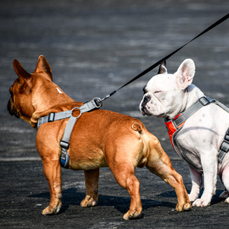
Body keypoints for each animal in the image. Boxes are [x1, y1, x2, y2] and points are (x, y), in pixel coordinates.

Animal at [7, 55, 191, 220]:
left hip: (120, 167)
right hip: (157, 163)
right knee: (175, 177)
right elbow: (91, 184)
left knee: (133, 183)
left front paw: (52, 208)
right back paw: (184, 204)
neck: (53, 106)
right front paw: (89, 201)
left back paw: (134, 212)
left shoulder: (49, 161)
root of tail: (136, 126)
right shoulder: (90, 166)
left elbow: (55, 187)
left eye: (10, 92)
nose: (7, 104)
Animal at [139, 59, 229, 208]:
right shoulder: (190, 160)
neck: (187, 111)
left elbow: (208, 180)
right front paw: (191, 197)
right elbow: (196, 180)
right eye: (144, 91)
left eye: (158, 92)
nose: (145, 98)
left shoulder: (208, 155)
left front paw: (204, 200)